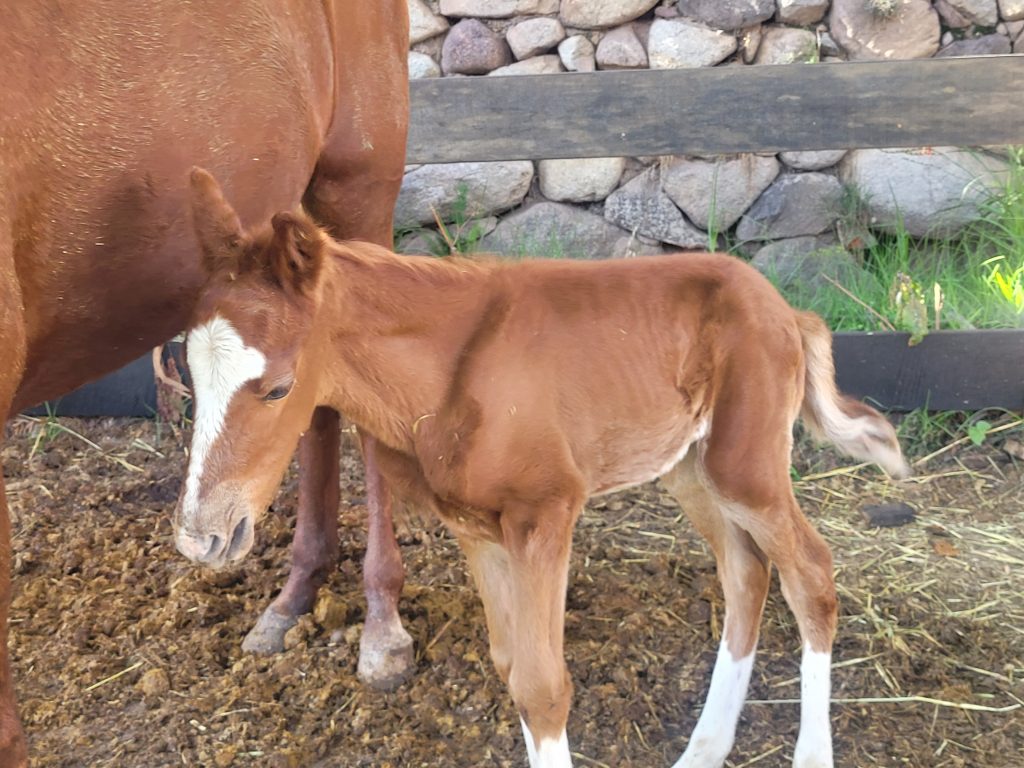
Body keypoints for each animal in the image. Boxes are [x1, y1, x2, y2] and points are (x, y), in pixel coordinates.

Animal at [176, 171, 910, 768]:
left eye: (277, 389)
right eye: (188, 373)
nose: (200, 536)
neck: (450, 372)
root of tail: (785, 309)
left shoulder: (545, 513)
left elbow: (543, 685)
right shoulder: (475, 527)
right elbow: (512, 668)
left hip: (744, 464)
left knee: (808, 572)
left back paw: (809, 753)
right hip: (687, 468)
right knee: (745, 572)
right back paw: (703, 749)